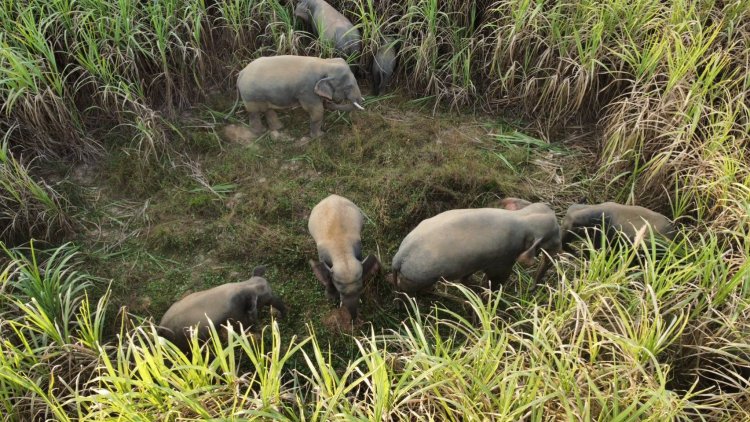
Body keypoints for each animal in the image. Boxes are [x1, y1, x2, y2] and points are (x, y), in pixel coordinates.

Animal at [390, 198, 560, 294]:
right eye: (554, 239)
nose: (530, 290)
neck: (523, 216)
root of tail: (398, 258)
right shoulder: (504, 258)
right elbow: (496, 280)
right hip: (418, 278)